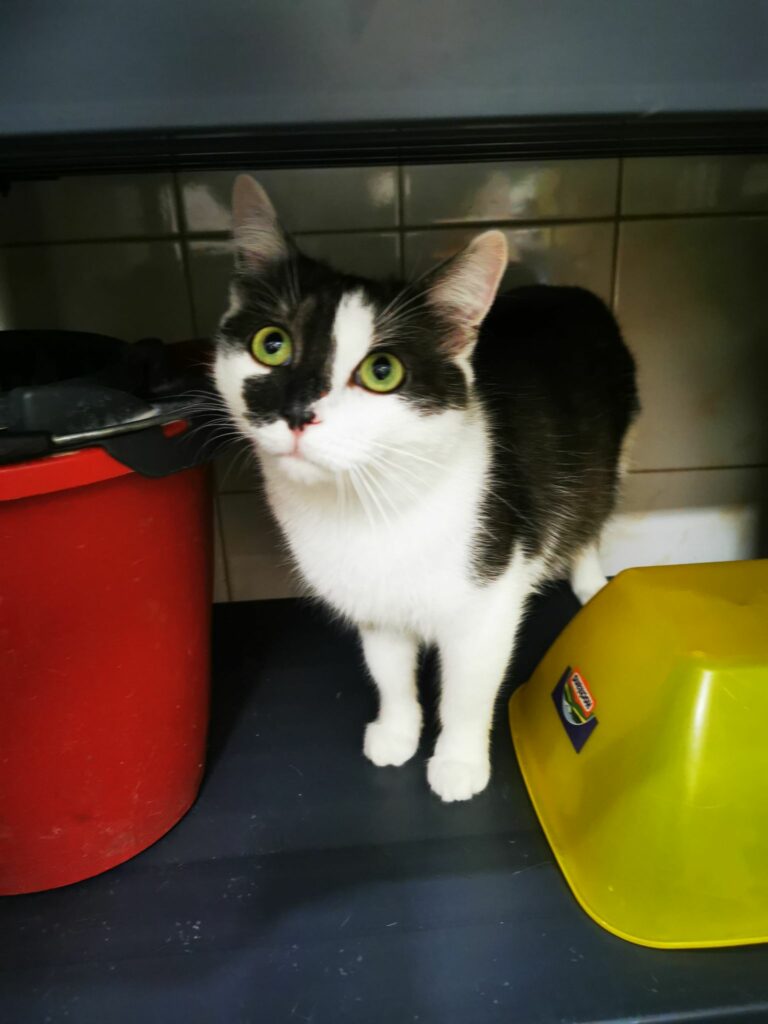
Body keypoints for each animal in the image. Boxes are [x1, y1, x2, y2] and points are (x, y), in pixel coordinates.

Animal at [213, 174, 639, 802]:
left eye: (381, 371)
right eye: (272, 344)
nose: (296, 412)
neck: (367, 503)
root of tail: (571, 294)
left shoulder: (489, 600)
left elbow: (467, 688)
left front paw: (458, 762)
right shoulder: (374, 603)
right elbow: (389, 670)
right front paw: (397, 732)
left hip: (610, 453)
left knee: (591, 511)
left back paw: (588, 580)